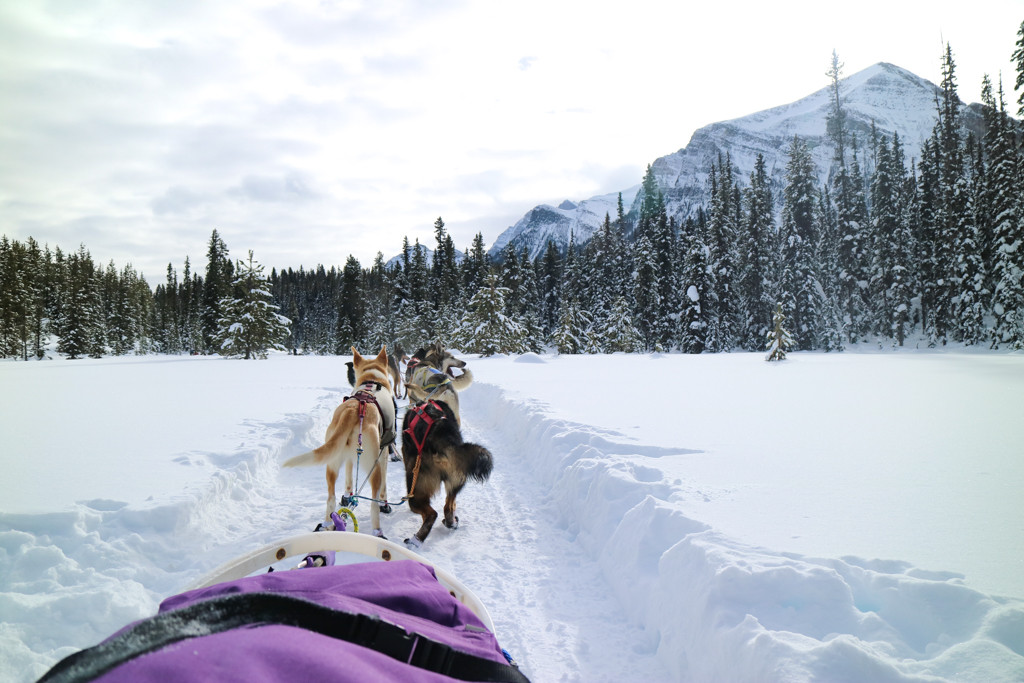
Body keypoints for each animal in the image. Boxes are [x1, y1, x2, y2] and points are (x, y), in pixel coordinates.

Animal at [401, 397, 493, 548]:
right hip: (455, 481)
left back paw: (416, 540)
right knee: (447, 507)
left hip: (416, 486)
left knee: (431, 514)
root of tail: (444, 440)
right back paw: (451, 523)